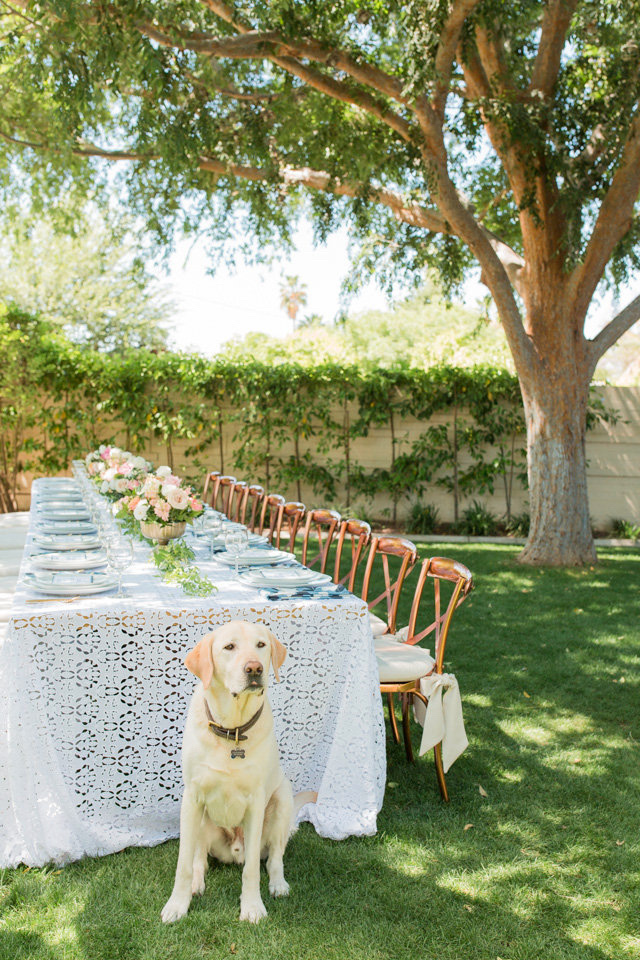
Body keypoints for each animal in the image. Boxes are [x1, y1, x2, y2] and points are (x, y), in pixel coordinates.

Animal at [161, 620, 314, 928]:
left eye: (261, 645)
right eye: (229, 647)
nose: (254, 668)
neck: (232, 729)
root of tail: (234, 853)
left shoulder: (255, 802)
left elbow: (253, 869)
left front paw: (252, 907)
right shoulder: (192, 798)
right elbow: (183, 864)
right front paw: (177, 905)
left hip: (282, 799)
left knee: (274, 857)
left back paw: (278, 884)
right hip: (200, 819)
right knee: (199, 859)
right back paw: (196, 884)